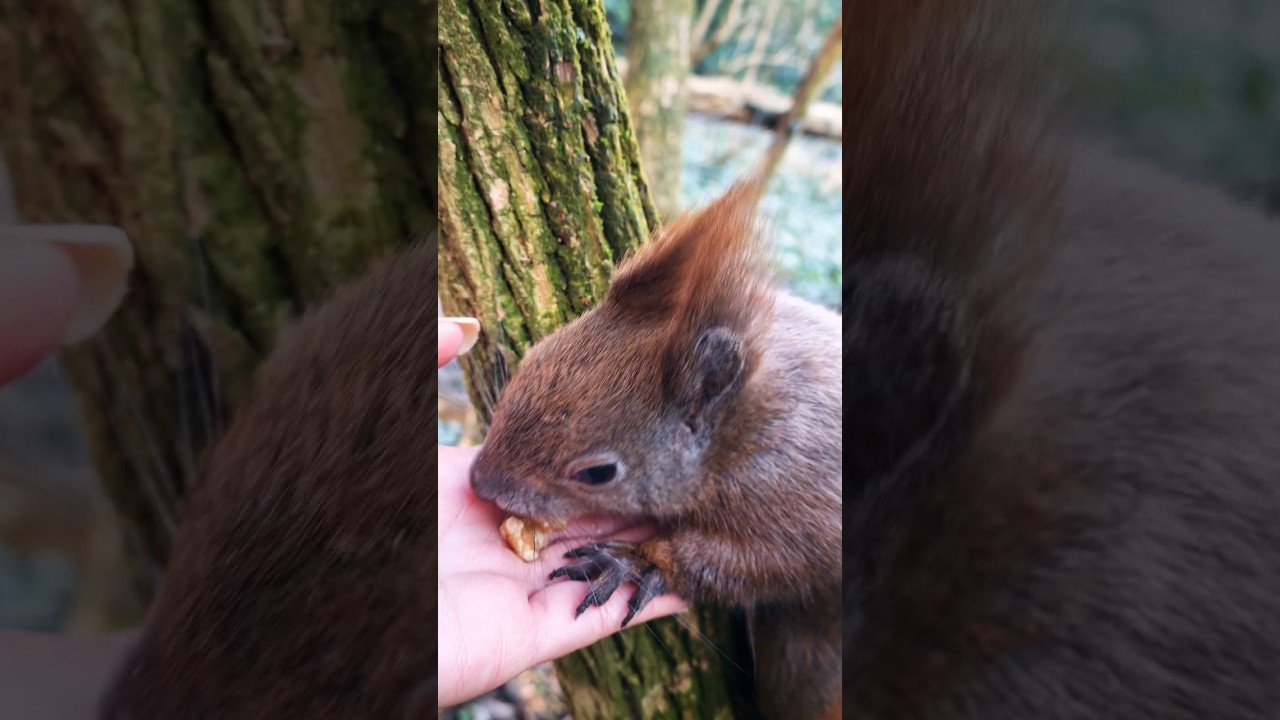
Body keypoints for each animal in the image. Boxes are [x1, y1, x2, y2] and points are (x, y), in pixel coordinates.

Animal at [468, 177, 843, 720]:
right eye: (534, 357)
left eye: (598, 473)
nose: (479, 483)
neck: (732, 432)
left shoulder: (799, 492)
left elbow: (773, 563)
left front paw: (637, 561)